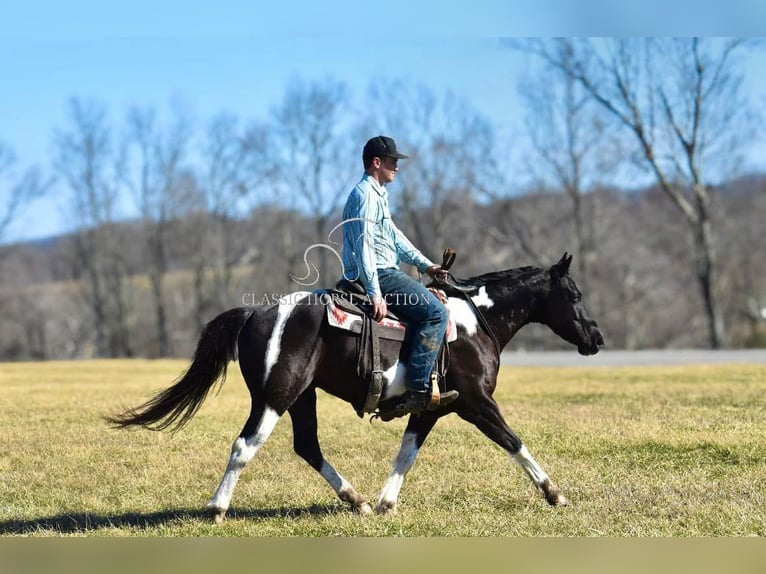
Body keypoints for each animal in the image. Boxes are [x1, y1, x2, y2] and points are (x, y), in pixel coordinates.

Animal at [109, 254, 608, 520]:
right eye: (575, 294)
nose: (597, 338)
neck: (472, 323)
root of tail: (256, 313)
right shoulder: (476, 402)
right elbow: (514, 442)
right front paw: (554, 493)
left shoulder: (429, 407)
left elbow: (406, 453)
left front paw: (386, 503)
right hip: (274, 397)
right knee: (244, 446)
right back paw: (217, 508)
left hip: (302, 397)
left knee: (307, 446)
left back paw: (357, 500)